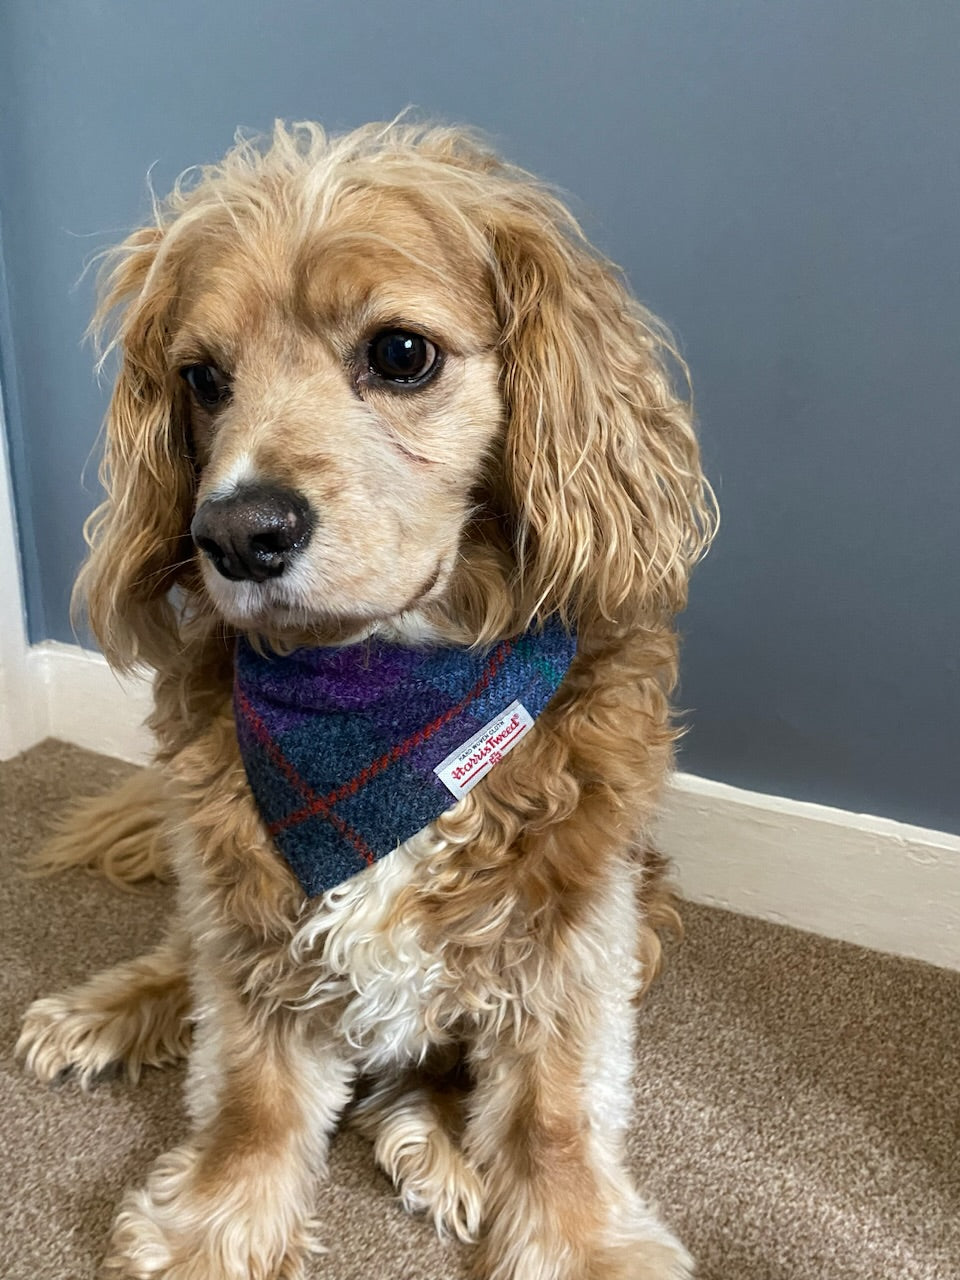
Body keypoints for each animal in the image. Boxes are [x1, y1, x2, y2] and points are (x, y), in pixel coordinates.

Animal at [18, 122, 716, 1280]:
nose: (236, 533)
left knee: (426, 1076)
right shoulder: (247, 899)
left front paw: (576, 1240)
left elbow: (552, 1108)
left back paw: (433, 1147)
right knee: (187, 957)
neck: (377, 693)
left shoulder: (575, 924)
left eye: (400, 354)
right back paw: (105, 1009)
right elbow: (253, 1091)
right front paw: (215, 1226)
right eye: (202, 378)